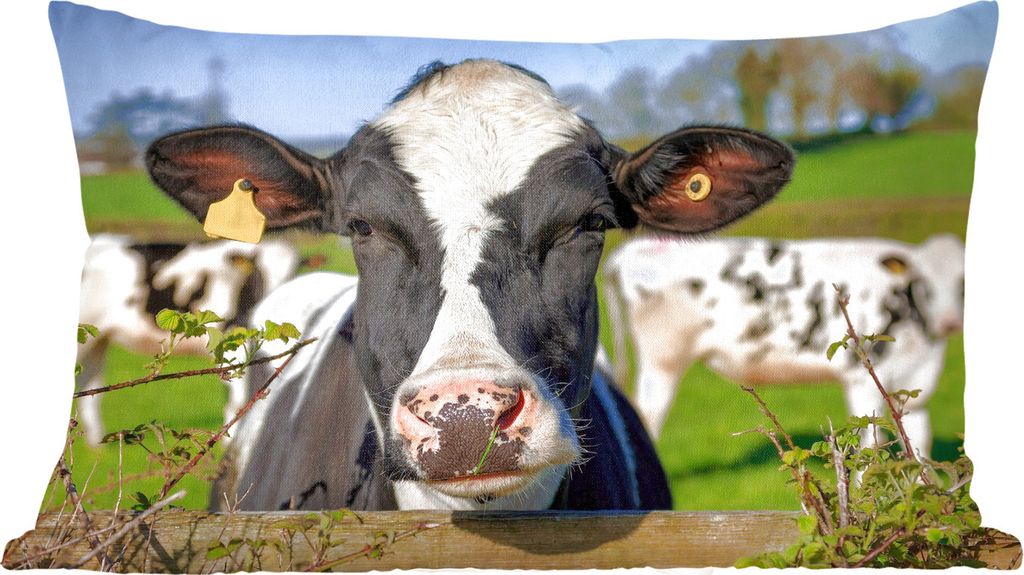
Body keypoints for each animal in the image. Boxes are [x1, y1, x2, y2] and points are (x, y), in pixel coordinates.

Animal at [603, 234, 965, 458]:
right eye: (923, 283)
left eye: (962, 283)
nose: (950, 322)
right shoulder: (862, 379)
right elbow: (868, 444)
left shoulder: (914, 384)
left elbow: (918, 446)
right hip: (663, 361)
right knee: (647, 418)